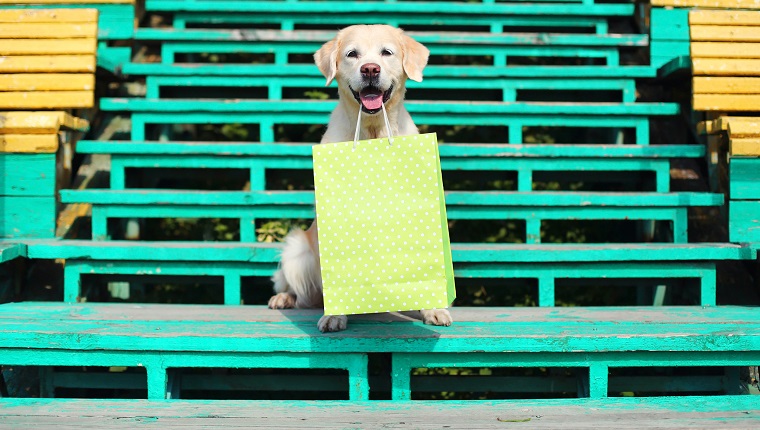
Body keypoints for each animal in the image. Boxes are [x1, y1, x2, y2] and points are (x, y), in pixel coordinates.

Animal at [268, 24, 452, 332]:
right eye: (352, 54)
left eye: (386, 52)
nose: (369, 69)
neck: (372, 132)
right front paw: (334, 315)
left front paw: (432, 308)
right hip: (297, 251)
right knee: (299, 289)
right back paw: (284, 298)